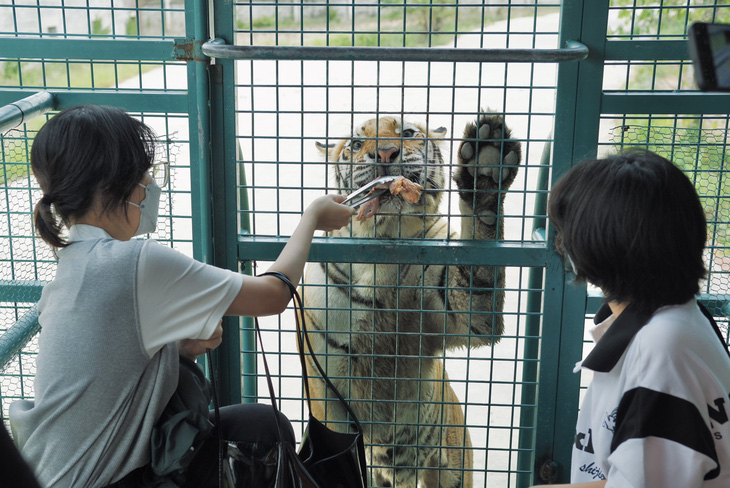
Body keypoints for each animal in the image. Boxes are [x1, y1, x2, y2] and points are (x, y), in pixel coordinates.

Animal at [298, 112, 520, 486]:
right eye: (357, 143)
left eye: (407, 133)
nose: (387, 152)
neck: (384, 248)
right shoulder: (326, 383)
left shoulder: (461, 310)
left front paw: (486, 165)